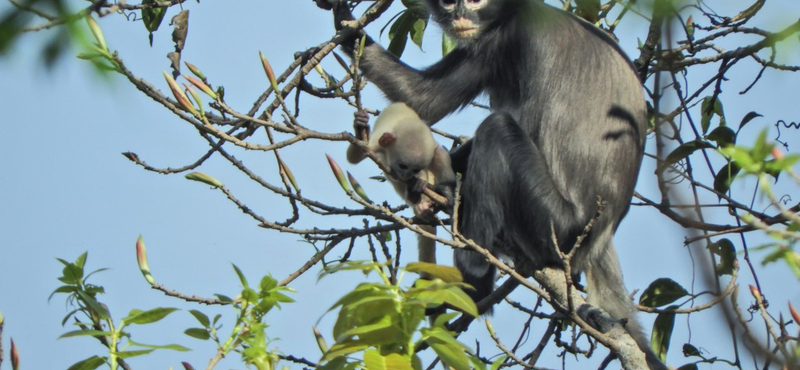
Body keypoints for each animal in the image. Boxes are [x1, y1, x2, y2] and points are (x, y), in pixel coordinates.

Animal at [322, 0, 660, 368]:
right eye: (449, 4)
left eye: (475, 2)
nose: (460, 16)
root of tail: (601, 234)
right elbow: (424, 98)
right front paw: (345, 22)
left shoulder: (518, 37)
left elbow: (509, 116)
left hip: (555, 225)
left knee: (498, 128)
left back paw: (472, 278)